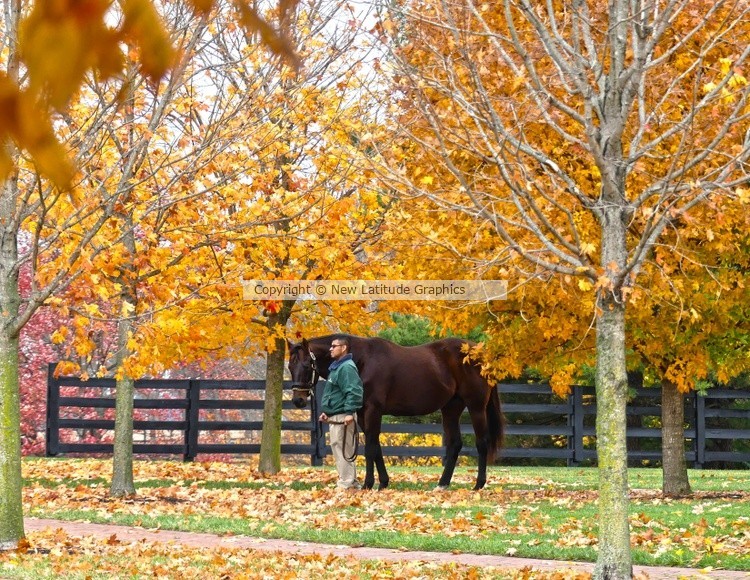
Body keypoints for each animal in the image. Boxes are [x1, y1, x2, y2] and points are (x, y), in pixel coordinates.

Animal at [288, 336, 506, 490]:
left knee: (482, 443)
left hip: (476, 407)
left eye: (306, 365)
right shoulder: (362, 413)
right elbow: (375, 446)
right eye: (290, 366)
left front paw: (368, 484)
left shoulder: (373, 410)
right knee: (454, 444)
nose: (298, 400)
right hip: (451, 409)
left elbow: (370, 448)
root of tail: (480, 353)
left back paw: (478, 484)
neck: (362, 361)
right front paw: (383, 482)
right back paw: (442, 484)